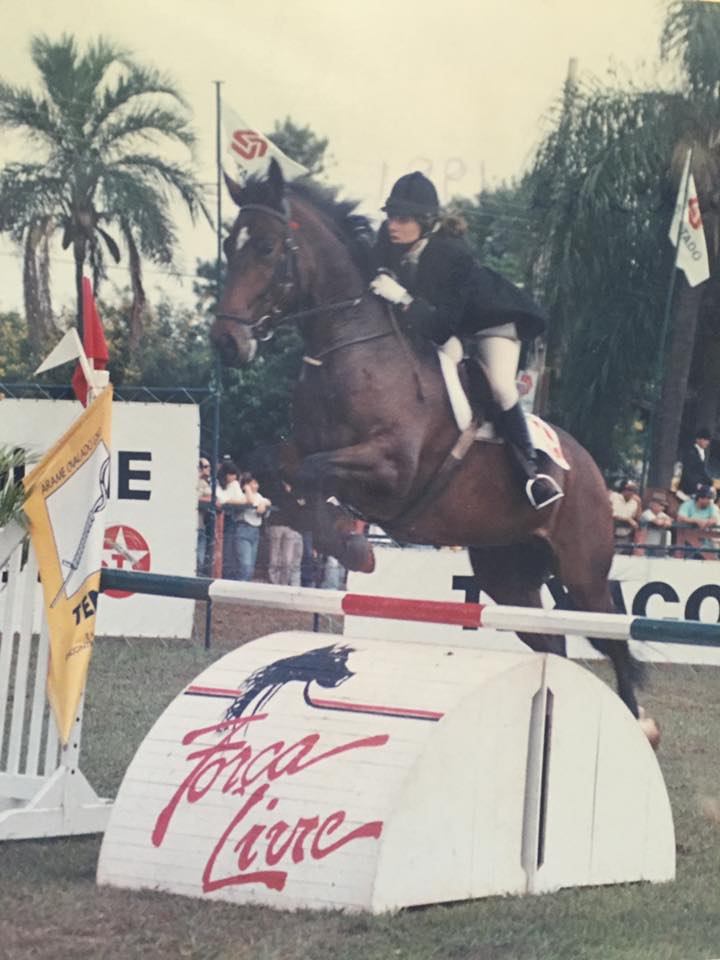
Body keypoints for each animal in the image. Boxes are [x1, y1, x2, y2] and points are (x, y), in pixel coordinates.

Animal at [211, 161, 656, 740]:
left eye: (266, 247)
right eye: (228, 245)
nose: (225, 342)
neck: (349, 347)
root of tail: (591, 468)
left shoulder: (392, 470)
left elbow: (312, 473)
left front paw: (354, 547)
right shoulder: (306, 450)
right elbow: (273, 468)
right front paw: (338, 538)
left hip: (583, 569)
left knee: (611, 638)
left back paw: (642, 724)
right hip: (507, 573)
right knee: (553, 643)